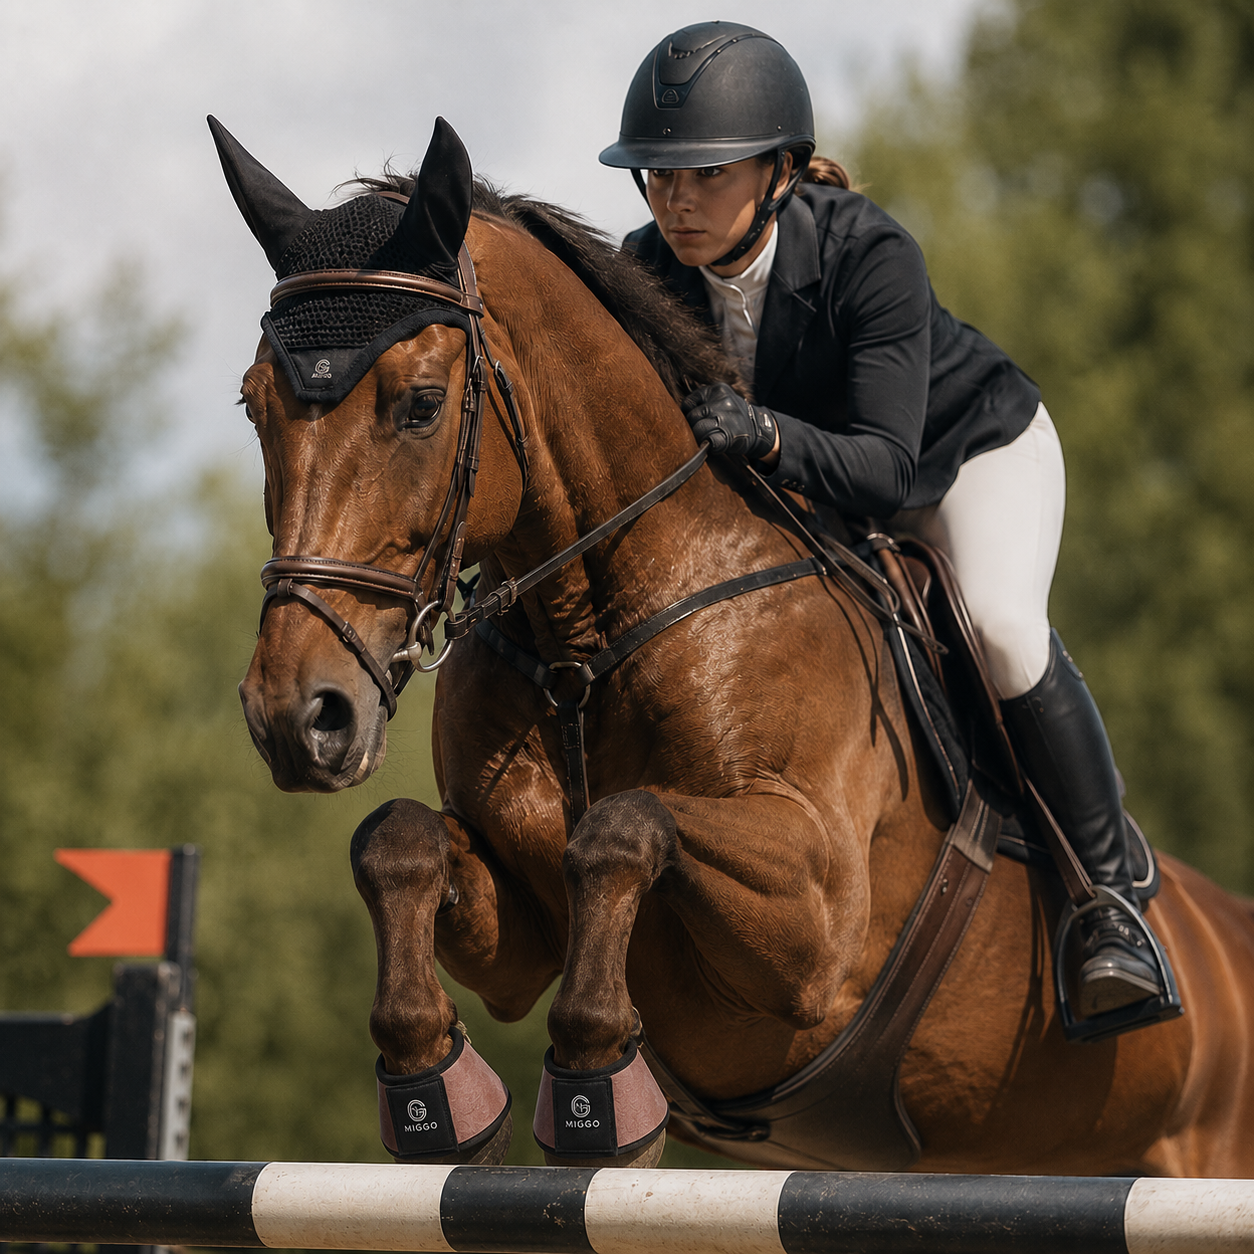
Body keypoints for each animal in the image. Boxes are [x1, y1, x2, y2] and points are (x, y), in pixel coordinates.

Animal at [213, 114, 1254, 1177]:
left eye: (421, 404)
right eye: (254, 405)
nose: (297, 715)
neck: (587, 642)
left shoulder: (817, 923)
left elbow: (625, 825)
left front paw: (598, 1081)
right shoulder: (520, 934)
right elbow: (398, 840)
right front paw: (435, 1087)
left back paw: (1115, 949)